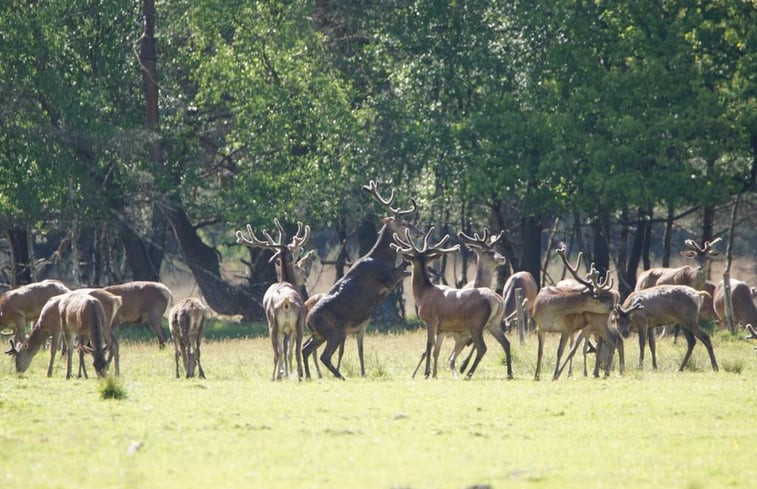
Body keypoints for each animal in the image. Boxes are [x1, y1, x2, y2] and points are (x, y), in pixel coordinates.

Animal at [235, 218, 308, 382]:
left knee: (281, 352)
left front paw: (284, 373)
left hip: (276, 324)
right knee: (292, 351)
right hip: (292, 324)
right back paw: (289, 376)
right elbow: (286, 351)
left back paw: (279, 376)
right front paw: (285, 373)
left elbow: (284, 351)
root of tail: (286, 302)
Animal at [302, 181, 414, 380]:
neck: (382, 257)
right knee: (323, 355)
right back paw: (339, 375)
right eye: (403, 222)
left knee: (305, 349)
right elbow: (400, 272)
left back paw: (308, 376)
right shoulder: (386, 279)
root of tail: (308, 320)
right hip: (335, 331)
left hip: (319, 335)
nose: (418, 231)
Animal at [392, 227, 510, 380]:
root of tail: (498, 299)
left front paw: (426, 373)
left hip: (476, 323)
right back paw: (509, 374)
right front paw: (434, 374)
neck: (423, 294)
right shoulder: (441, 328)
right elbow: (436, 350)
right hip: (494, 323)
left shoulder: (431, 320)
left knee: (482, 347)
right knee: (506, 343)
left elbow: (429, 345)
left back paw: (468, 373)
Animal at [532, 246, 620, 380]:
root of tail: (616, 294)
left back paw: (605, 373)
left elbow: (560, 352)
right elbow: (540, 352)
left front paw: (554, 375)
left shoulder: (567, 328)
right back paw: (600, 372)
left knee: (611, 341)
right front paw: (536, 376)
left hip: (598, 322)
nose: (612, 306)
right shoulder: (540, 327)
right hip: (599, 325)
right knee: (609, 342)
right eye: (598, 298)